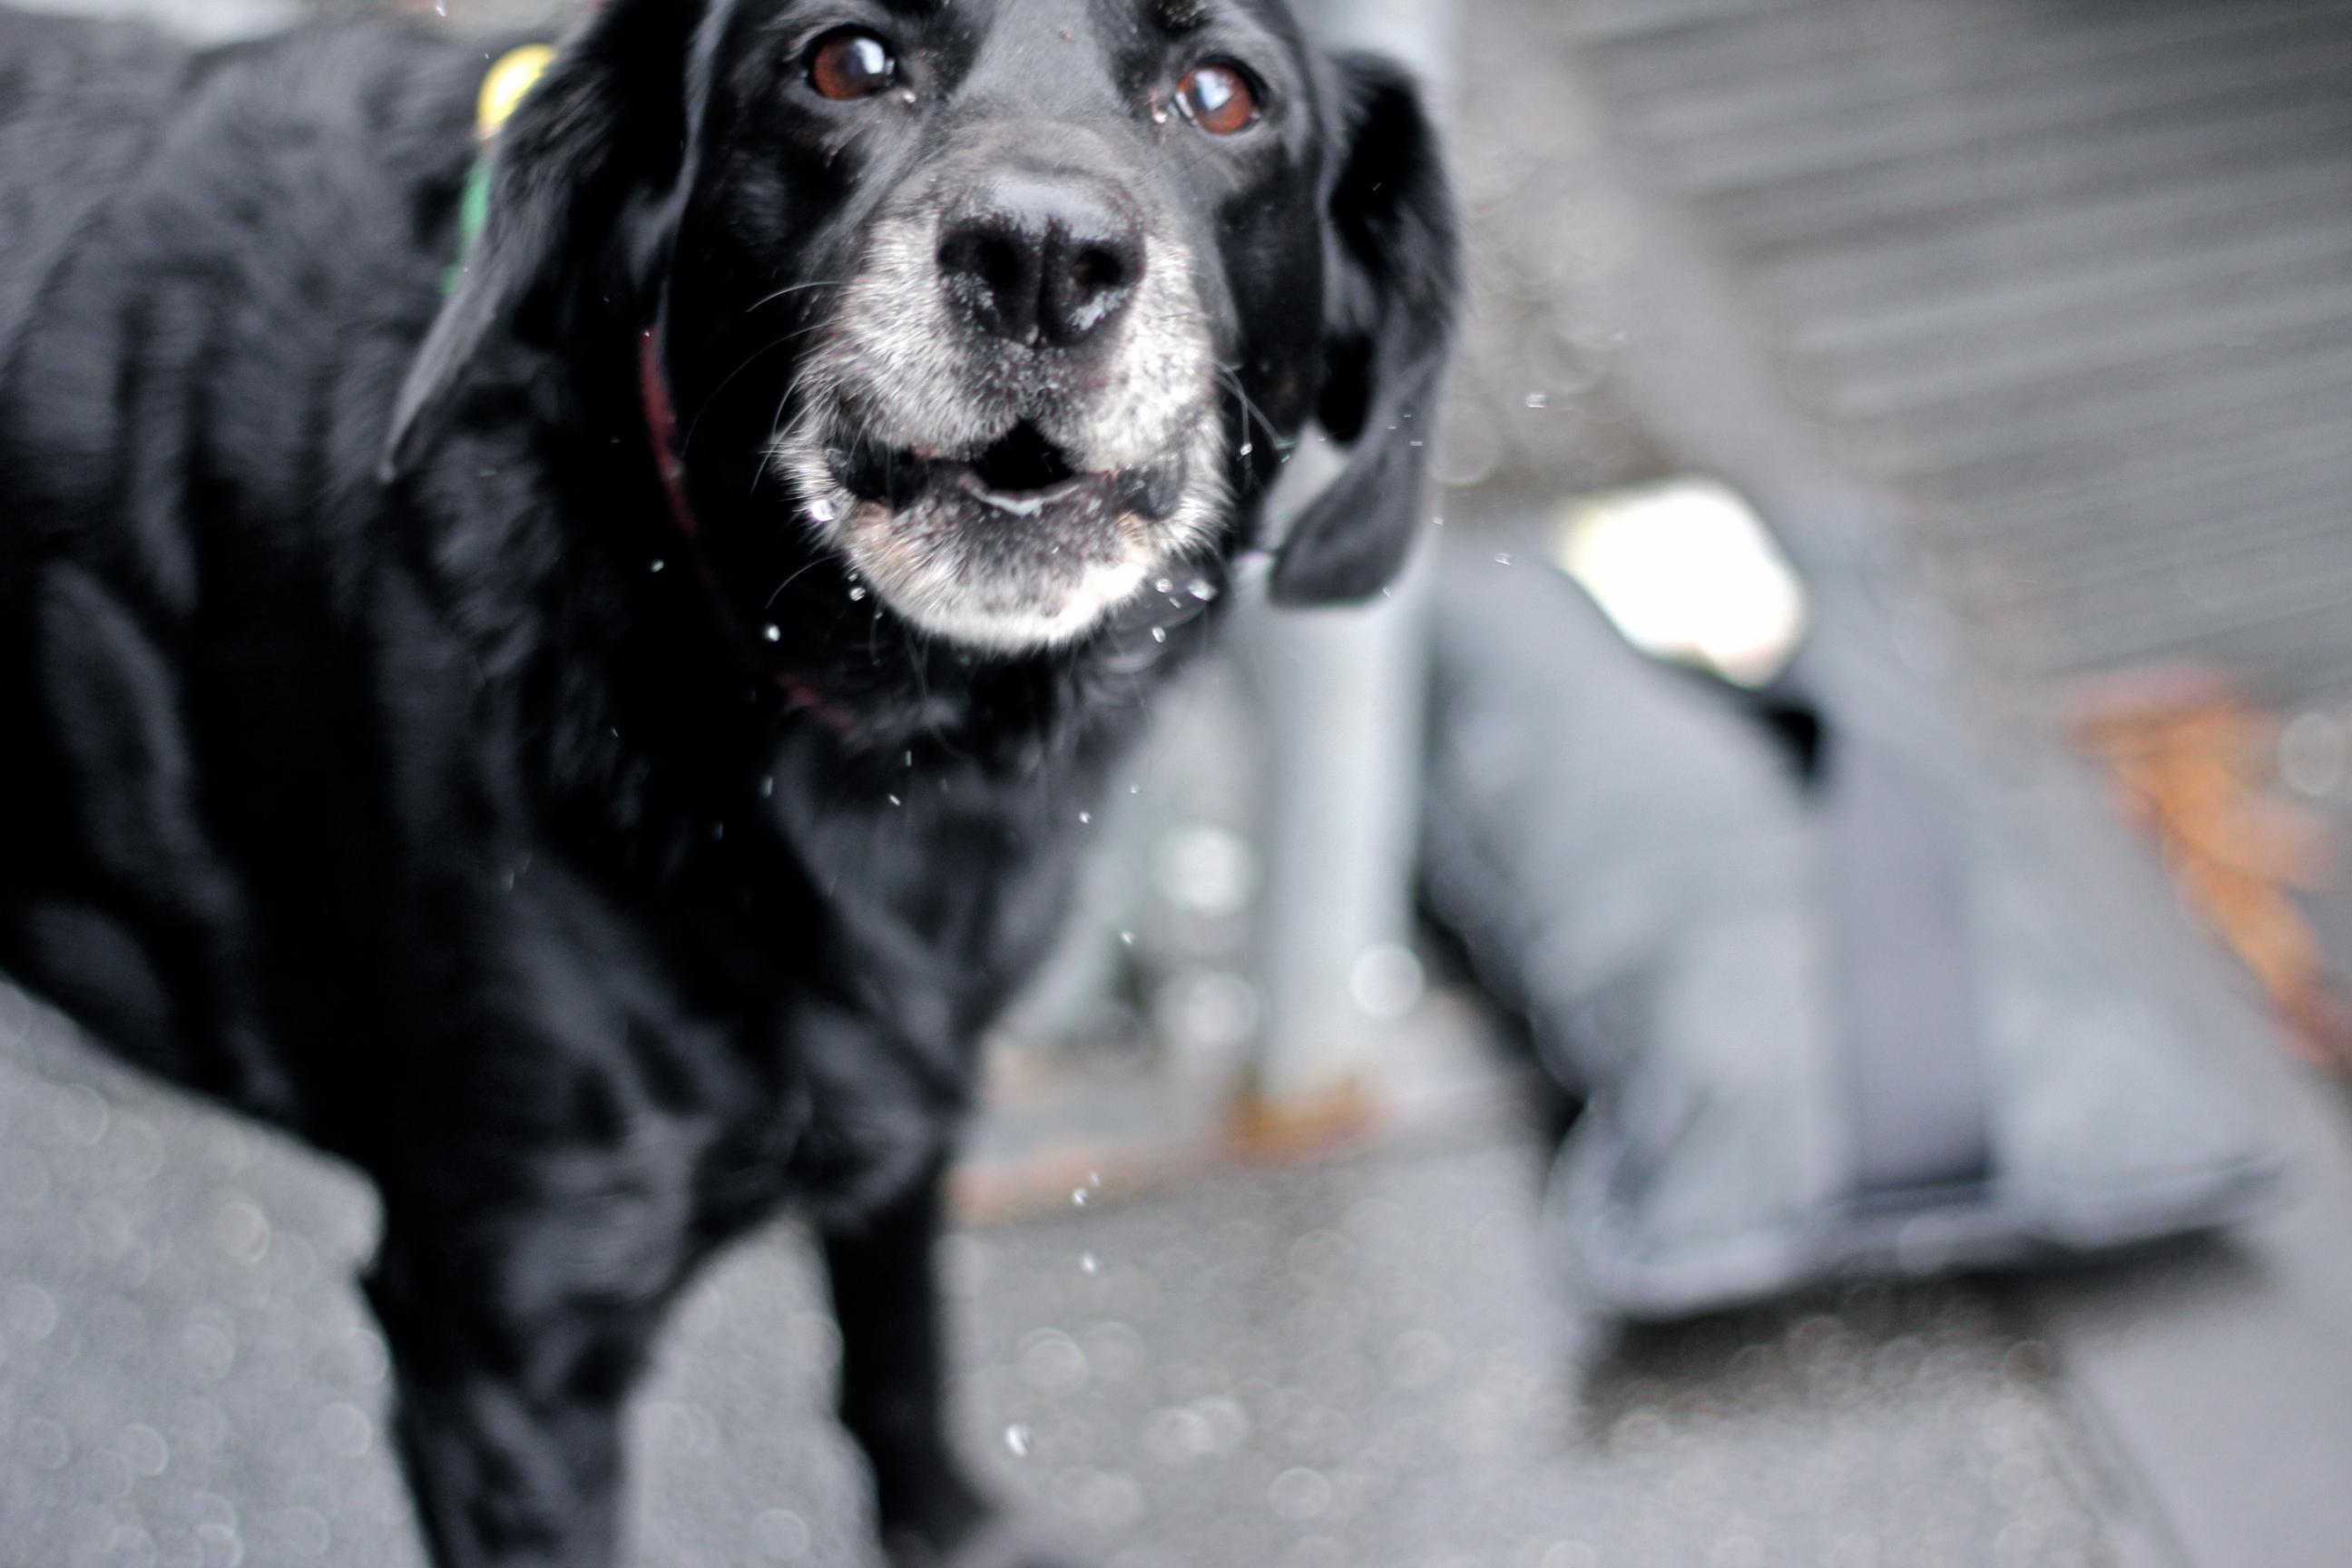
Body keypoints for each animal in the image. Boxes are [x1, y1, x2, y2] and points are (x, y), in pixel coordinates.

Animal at [0, 0, 1448, 1561]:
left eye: (1223, 94)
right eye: (844, 62)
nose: (1041, 258)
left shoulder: (910, 1120)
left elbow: (899, 1358)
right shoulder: (507, 1345)